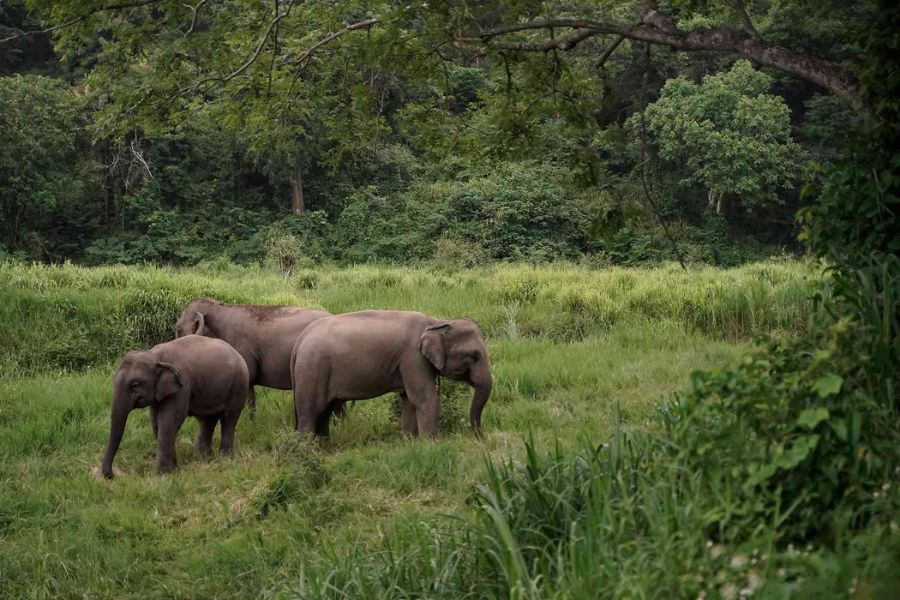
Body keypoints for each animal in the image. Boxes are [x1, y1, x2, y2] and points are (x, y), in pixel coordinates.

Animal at [101, 332, 250, 478]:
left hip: (239, 386)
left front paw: (163, 474)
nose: (112, 475)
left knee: (229, 418)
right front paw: (174, 469)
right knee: (207, 420)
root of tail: (238, 355)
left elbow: (168, 420)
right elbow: (156, 423)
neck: (154, 356)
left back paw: (225, 459)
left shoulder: (182, 385)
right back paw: (203, 458)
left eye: (135, 385)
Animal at [292, 312, 492, 438]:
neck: (435, 322)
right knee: (310, 411)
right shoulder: (413, 357)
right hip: (312, 370)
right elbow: (424, 397)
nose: (480, 437)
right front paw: (432, 443)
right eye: (474, 356)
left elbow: (409, 400)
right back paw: (307, 449)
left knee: (324, 412)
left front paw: (410, 441)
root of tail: (301, 339)